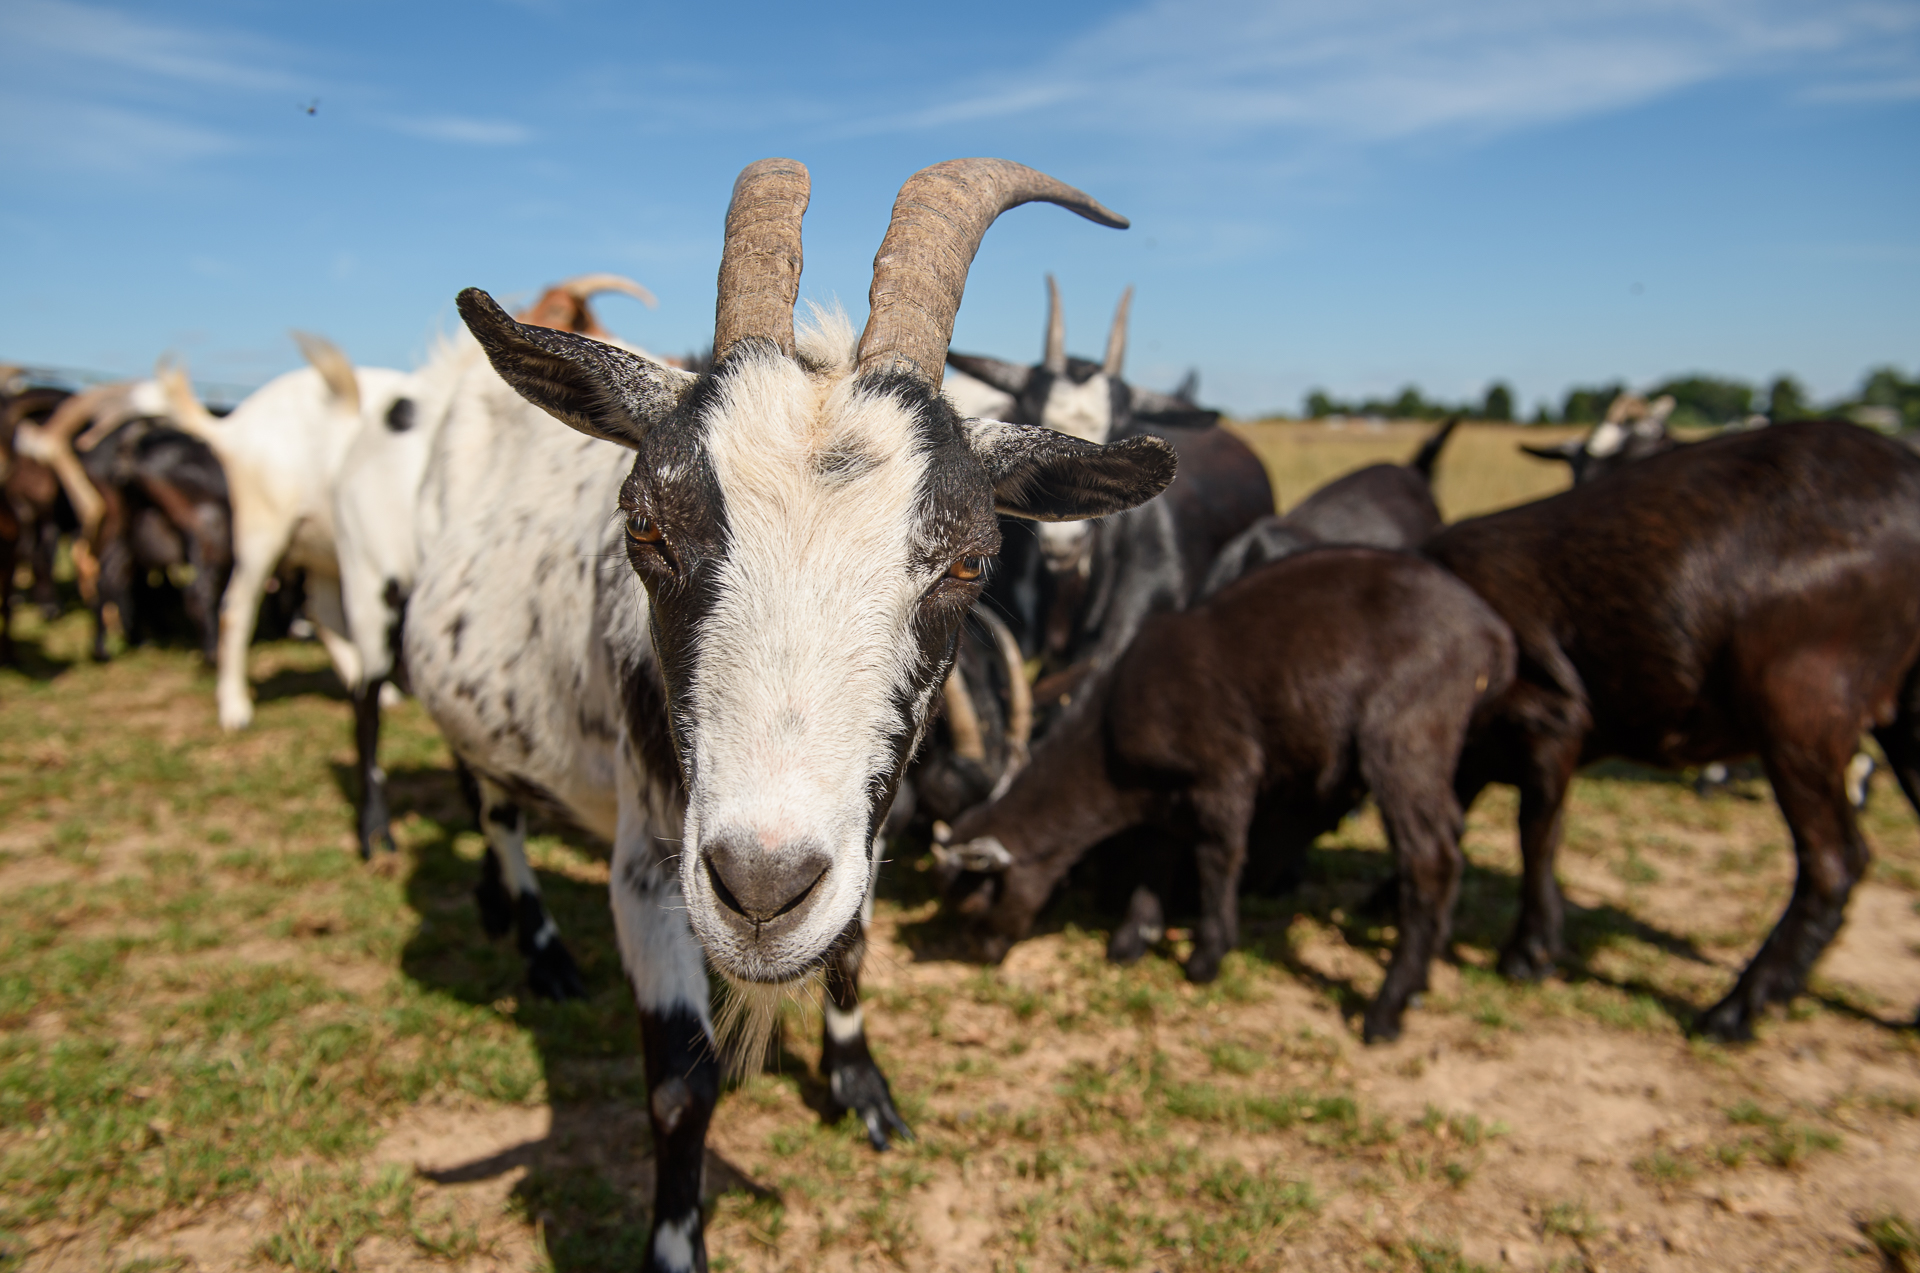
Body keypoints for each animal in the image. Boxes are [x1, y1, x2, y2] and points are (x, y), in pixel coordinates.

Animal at [405, 156, 1167, 1267]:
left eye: (971, 559)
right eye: (644, 524)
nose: (762, 890)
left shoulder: (866, 827)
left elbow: (847, 947)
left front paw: (862, 1086)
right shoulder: (651, 865)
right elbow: (681, 1086)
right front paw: (676, 1244)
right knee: (492, 798)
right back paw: (538, 945)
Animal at [1428, 422, 1920, 1044]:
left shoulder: (1551, 718)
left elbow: (1536, 833)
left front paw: (1529, 953)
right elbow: (1456, 815)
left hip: (1802, 702)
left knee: (1834, 861)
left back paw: (1737, 1009)